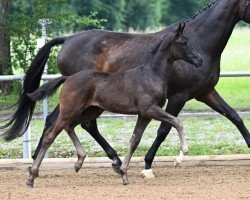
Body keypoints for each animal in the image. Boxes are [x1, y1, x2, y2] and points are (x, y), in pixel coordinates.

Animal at [26, 24, 202, 187]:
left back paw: (79, 161)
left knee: (71, 127)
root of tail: (68, 78)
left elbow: (135, 140)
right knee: (51, 134)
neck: (150, 75)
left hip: (90, 111)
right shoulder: (150, 109)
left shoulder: (144, 115)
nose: (199, 60)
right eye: (183, 42)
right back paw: (32, 176)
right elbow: (177, 121)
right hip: (70, 110)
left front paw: (124, 174)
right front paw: (183, 152)